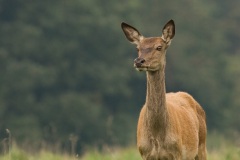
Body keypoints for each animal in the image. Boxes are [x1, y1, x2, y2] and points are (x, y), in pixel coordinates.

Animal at [121, 19, 207, 159]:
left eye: (159, 47)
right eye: (138, 48)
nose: (139, 61)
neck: (157, 138)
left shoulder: (177, 152)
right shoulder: (144, 153)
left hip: (202, 145)